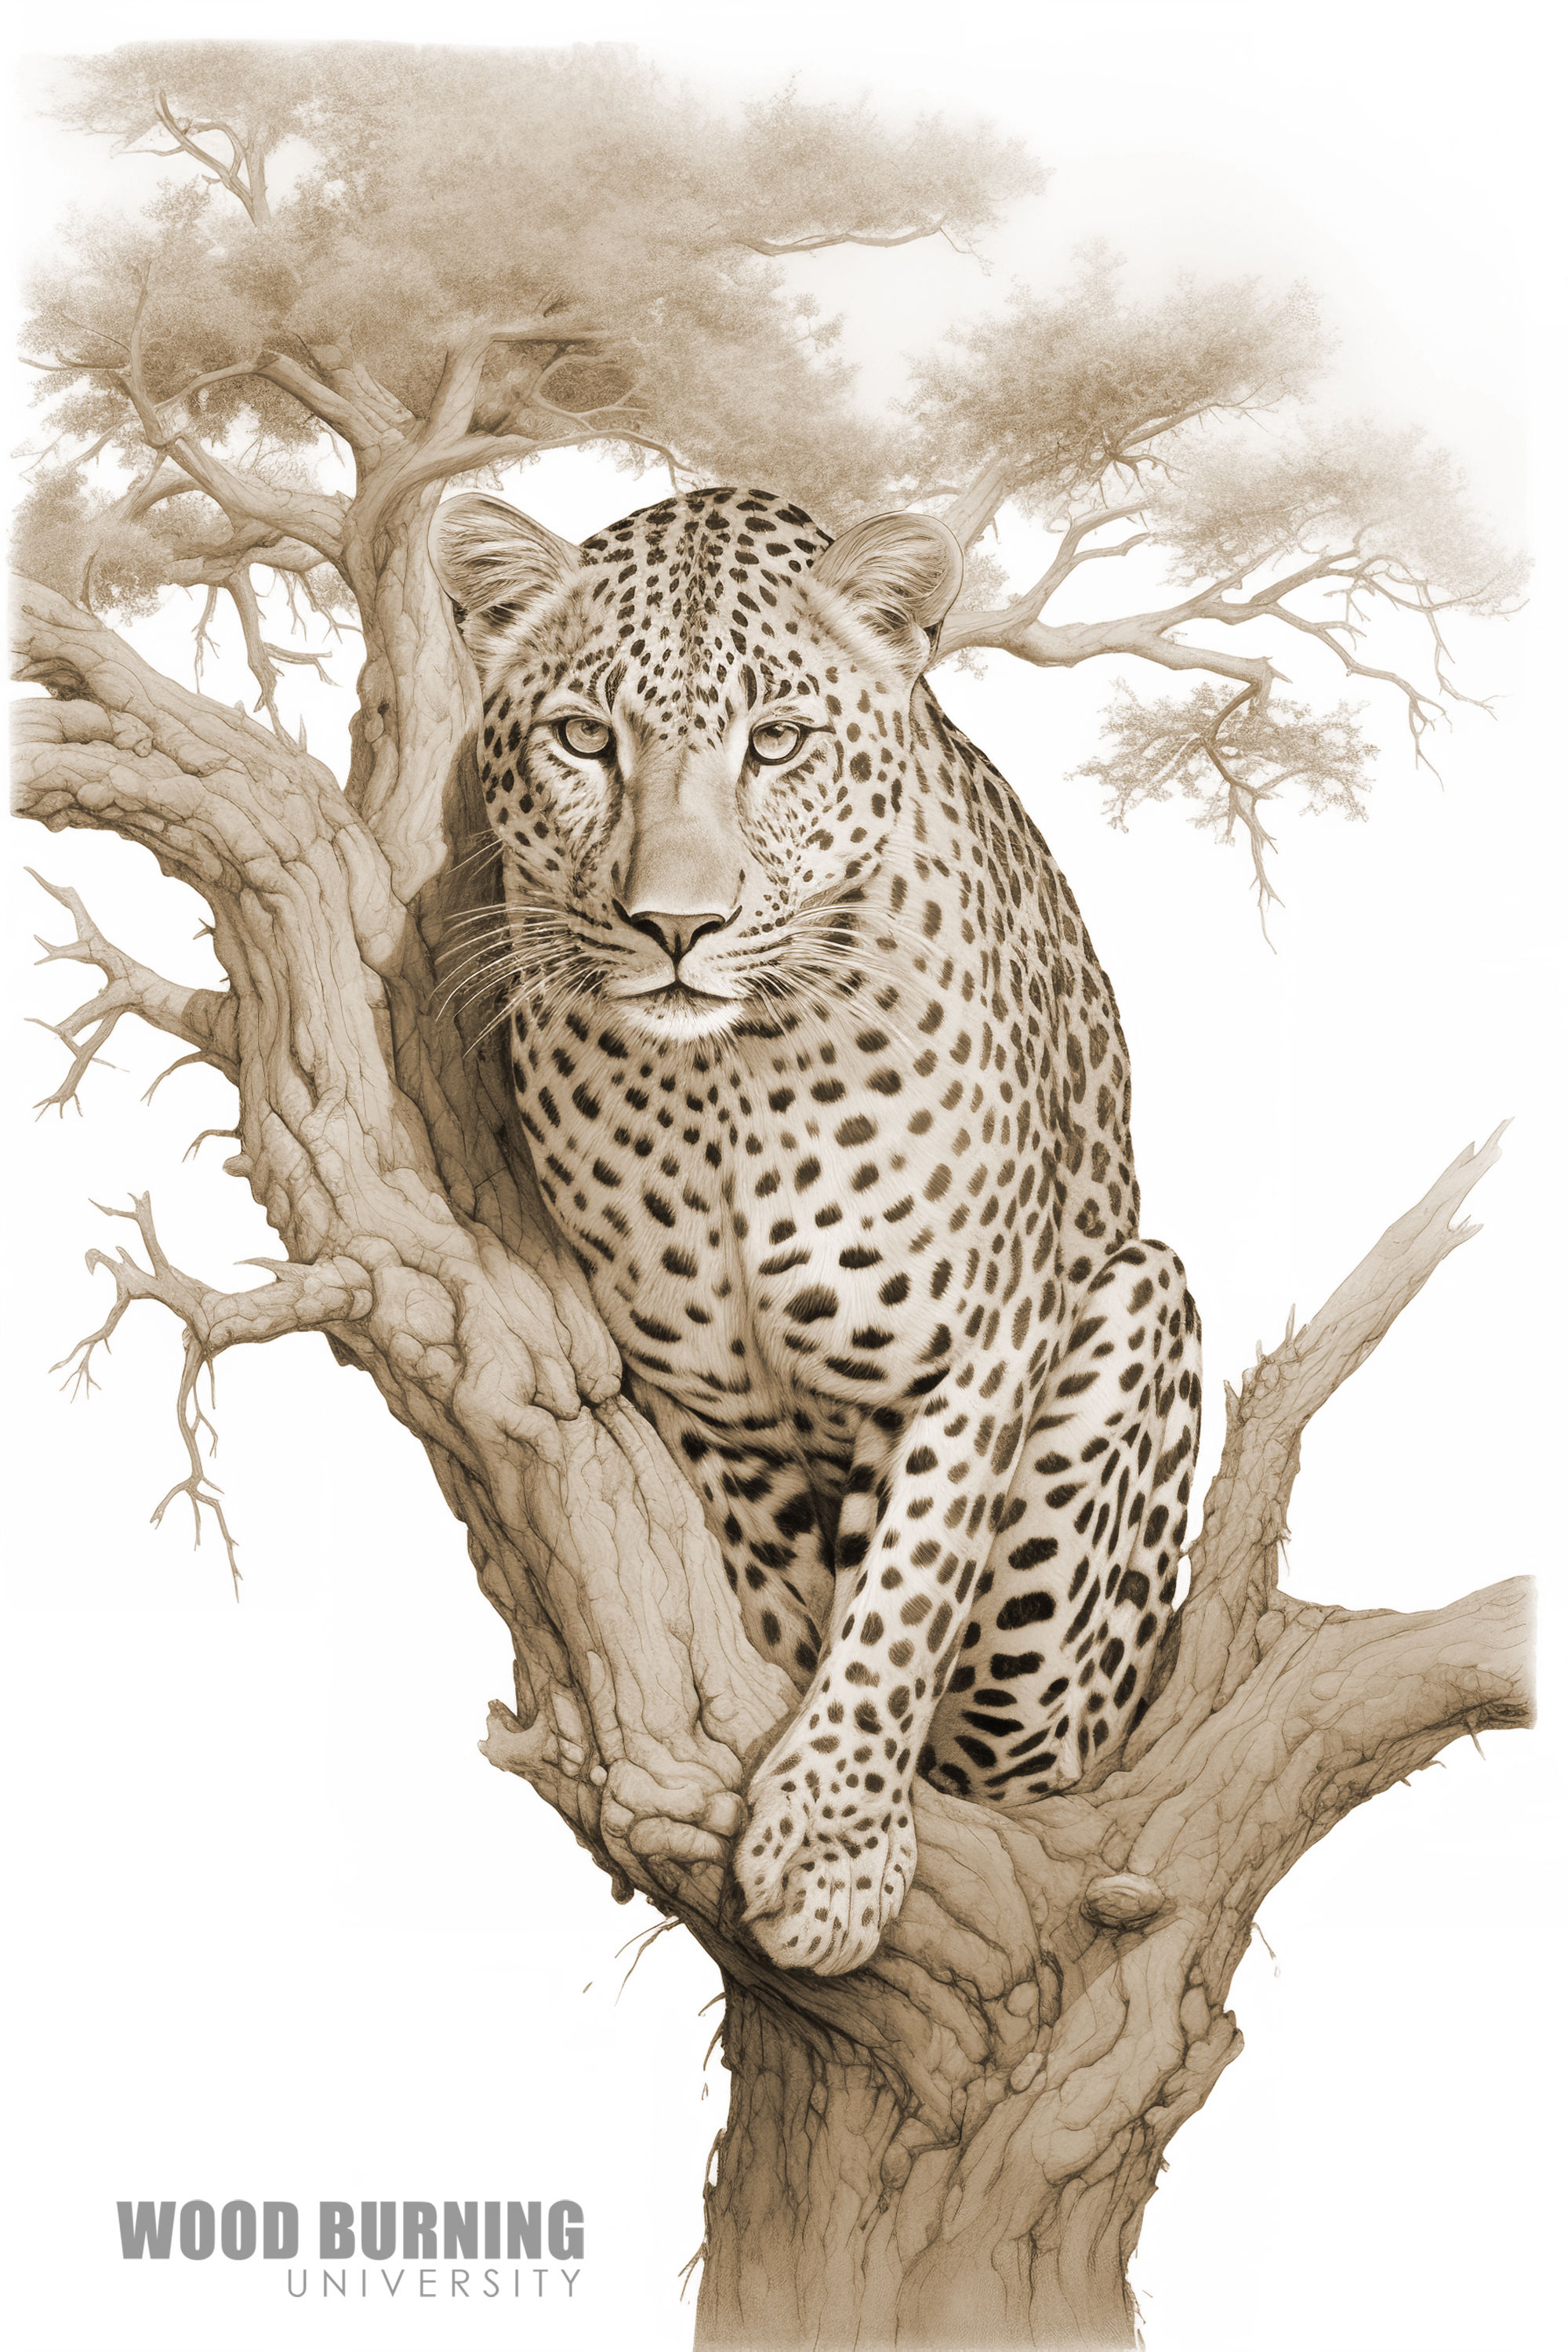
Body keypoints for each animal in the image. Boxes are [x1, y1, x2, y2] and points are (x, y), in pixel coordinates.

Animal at [429, 483, 1201, 1978]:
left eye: (775, 743)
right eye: (584, 739)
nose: (675, 925)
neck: (730, 1081)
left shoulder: (970, 1354)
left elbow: (905, 1596)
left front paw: (834, 1847)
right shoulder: (704, 1401)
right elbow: (784, 1589)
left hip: (1143, 1312)